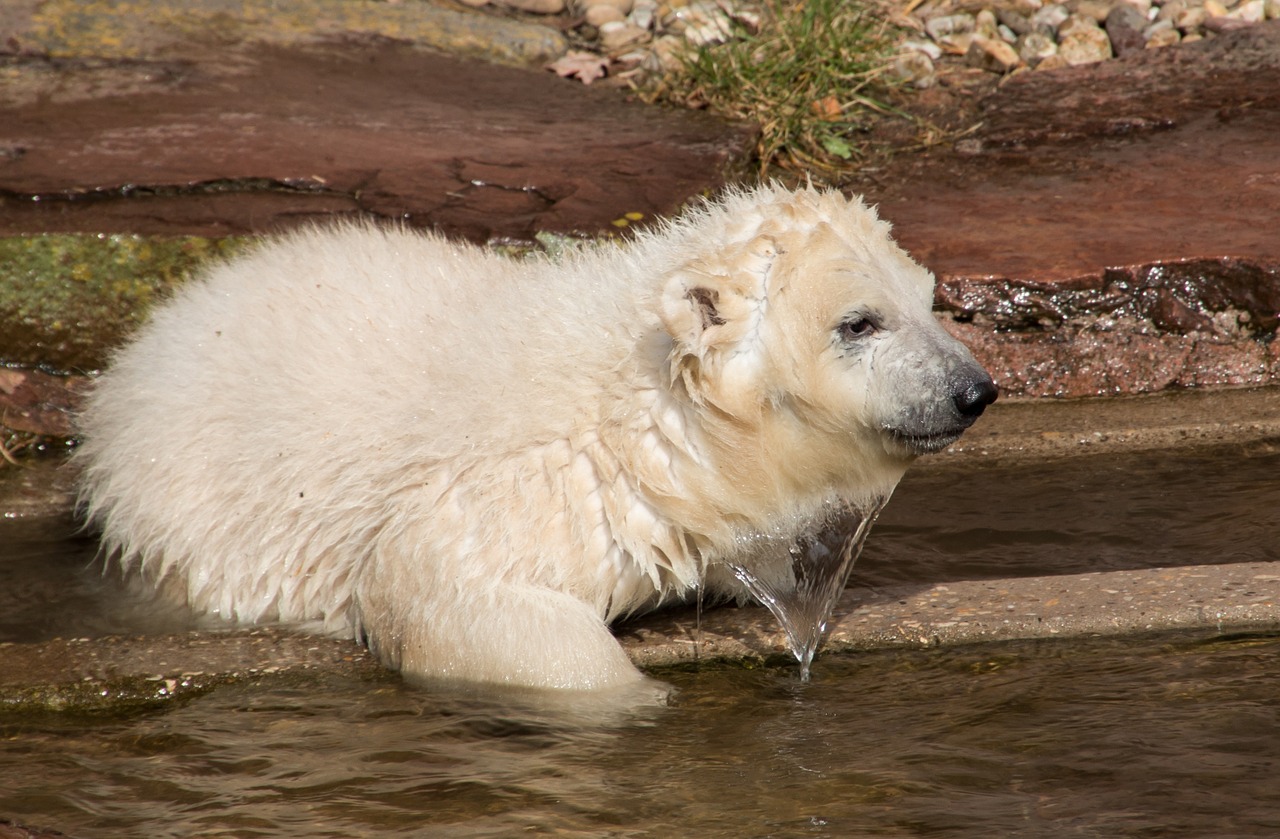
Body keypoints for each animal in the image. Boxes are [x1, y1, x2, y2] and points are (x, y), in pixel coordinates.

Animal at [77, 181, 998, 691]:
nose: (974, 390)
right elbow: (454, 597)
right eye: (859, 321)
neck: (639, 402)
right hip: (186, 503)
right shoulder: (527, 487)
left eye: (928, 300)